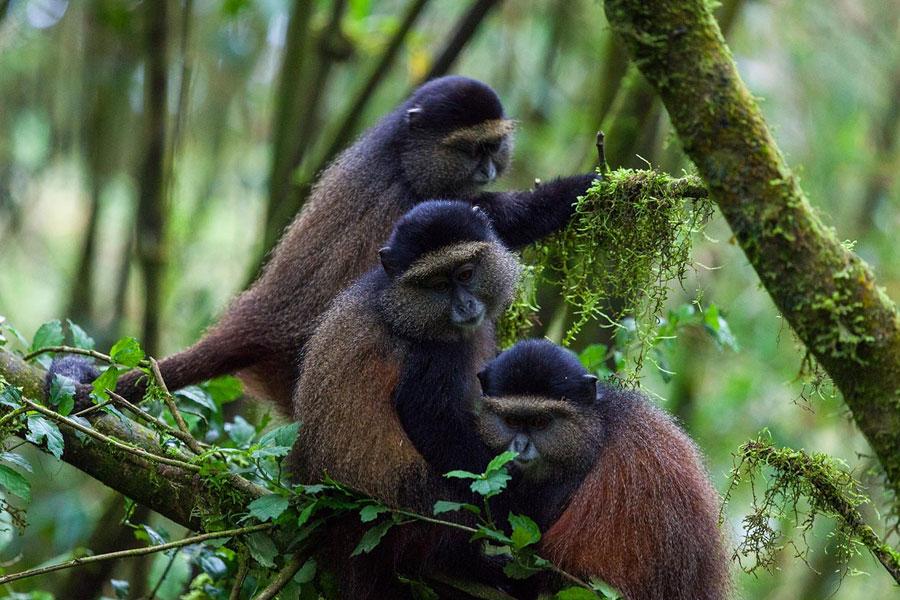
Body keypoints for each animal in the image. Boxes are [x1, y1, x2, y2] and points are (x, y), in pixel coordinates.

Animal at [62, 76, 597, 413]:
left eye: (493, 146)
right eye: (470, 148)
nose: (487, 168)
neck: (401, 155)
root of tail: (260, 318)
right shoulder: (421, 203)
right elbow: (499, 219)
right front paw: (591, 187)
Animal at [288, 199, 522, 598]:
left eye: (466, 274)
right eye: (439, 285)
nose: (465, 306)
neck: (400, 304)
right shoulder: (429, 358)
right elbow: (434, 424)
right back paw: (470, 565)